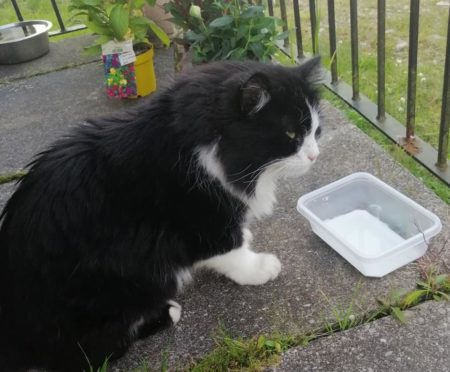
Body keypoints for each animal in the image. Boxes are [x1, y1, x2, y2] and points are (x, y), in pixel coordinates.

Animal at [0, 56, 322, 370]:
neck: (204, 144)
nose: (315, 155)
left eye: (316, 130)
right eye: (291, 133)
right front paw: (259, 268)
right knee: (97, 352)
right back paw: (167, 312)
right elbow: (232, 251)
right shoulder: (203, 220)